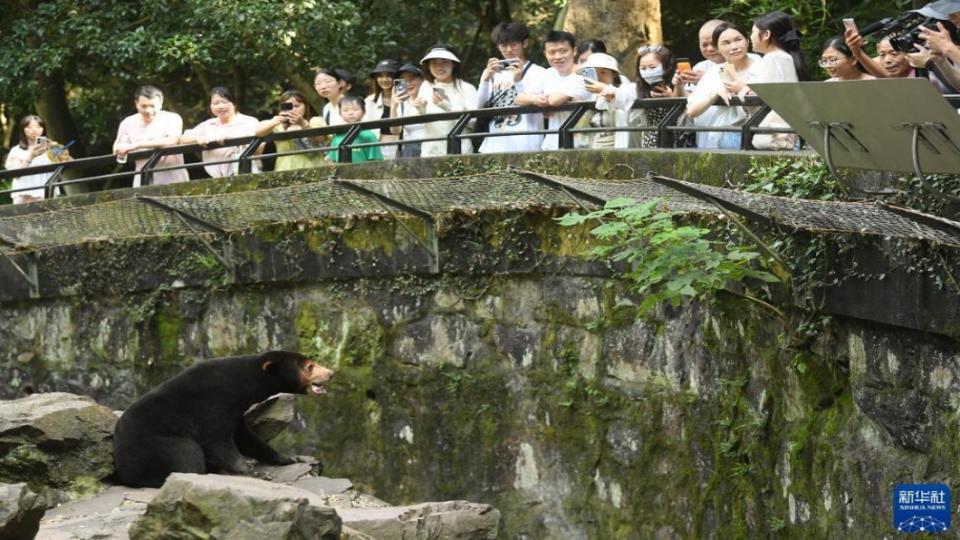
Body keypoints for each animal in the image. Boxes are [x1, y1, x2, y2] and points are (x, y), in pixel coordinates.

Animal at [114, 350, 334, 490]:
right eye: (310, 366)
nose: (331, 373)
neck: (244, 384)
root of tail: (122, 470)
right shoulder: (214, 403)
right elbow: (218, 441)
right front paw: (254, 473)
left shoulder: (235, 412)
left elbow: (246, 438)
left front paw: (288, 458)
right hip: (151, 448)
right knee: (186, 452)